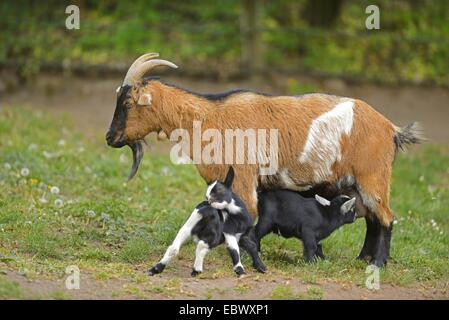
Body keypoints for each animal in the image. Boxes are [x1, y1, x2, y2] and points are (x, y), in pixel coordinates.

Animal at [107, 53, 422, 266]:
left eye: (127, 103)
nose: (110, 138)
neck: (209, 116)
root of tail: (390, 129)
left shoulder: (244, 177)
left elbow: (247, 214)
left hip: (373, 176)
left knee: (386, 217)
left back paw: (377, 263)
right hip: (356, 183)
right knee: (371, 217)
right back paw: (362, 258)